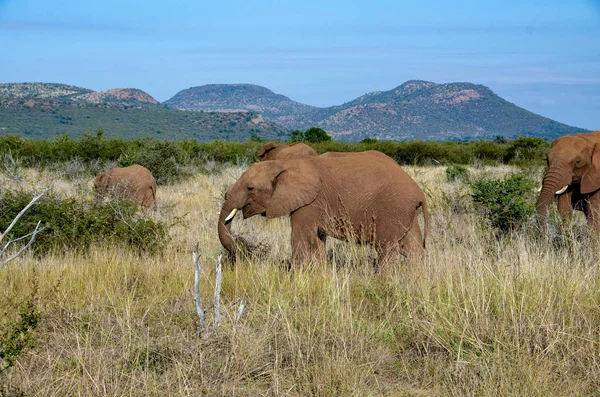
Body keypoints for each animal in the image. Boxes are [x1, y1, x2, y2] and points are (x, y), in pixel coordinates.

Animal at [218, 150, 428, 268]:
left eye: (250, 188)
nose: (240, 250)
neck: (284, 164)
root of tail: (419, 193)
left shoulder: (309, 203)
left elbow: (301, 240)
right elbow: (318, 242)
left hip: (392, 209)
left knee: (387, 249)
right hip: (405, 212)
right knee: (413, 249)